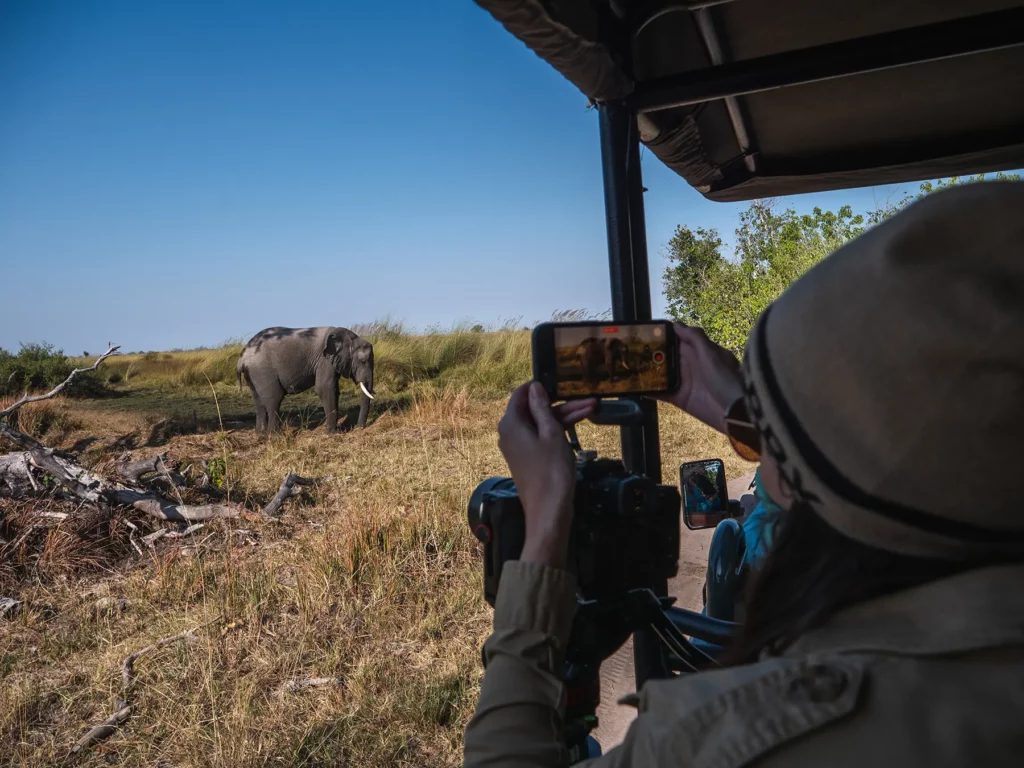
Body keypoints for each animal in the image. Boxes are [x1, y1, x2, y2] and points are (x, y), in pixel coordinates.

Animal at [237, 326, 374, 434]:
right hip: (263, 371)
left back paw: (261, 434)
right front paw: (333, 433)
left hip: (253, 374)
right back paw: (275, 435)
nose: (357, 428)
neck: (349, 337)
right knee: (274, 399)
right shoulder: (324, 360)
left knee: (258, 401)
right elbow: (325, 388)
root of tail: (242, 358)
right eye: (363, 361)